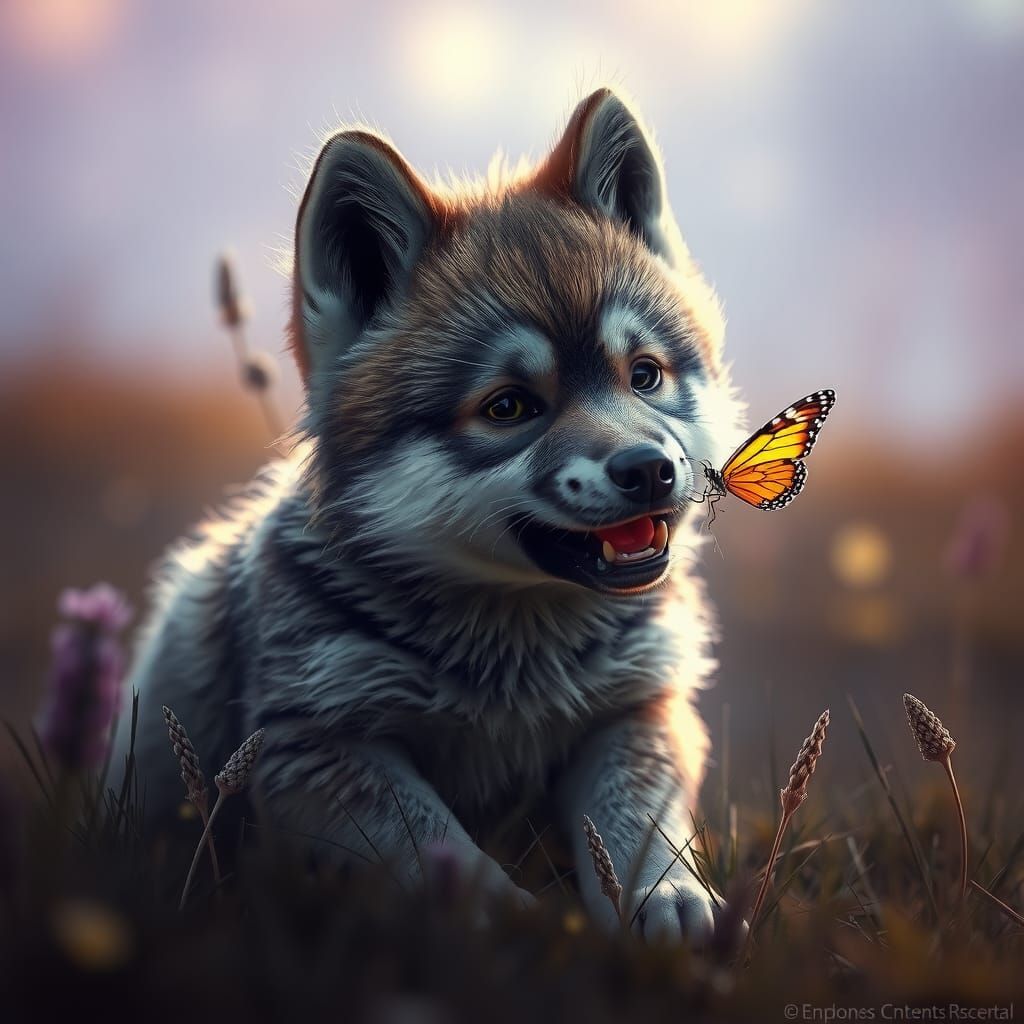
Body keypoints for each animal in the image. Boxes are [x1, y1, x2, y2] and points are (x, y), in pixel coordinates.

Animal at [115, 86, 743, 941]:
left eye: (644, 375)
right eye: (509, 407)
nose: (650, 470)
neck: (516, 654)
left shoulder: (639, 711)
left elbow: (637, 824)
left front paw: (667, 898)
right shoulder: (316, 746)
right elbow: (442, 850)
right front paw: (511, 920)